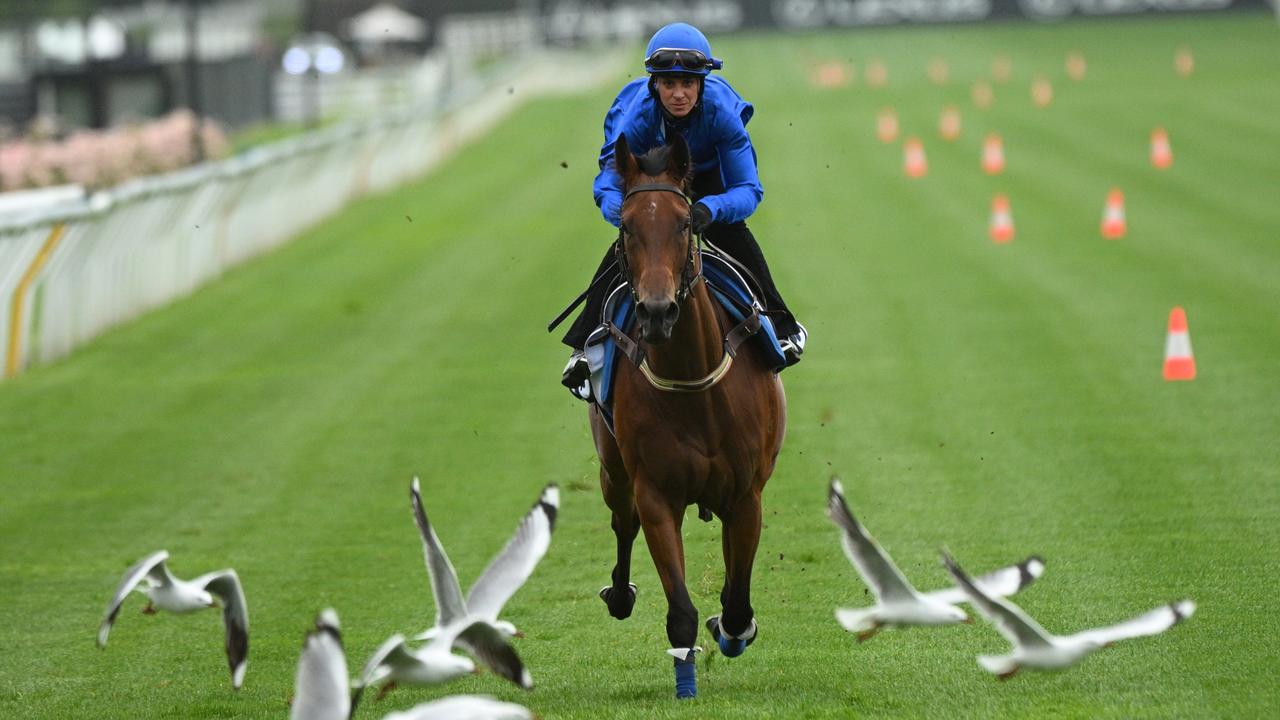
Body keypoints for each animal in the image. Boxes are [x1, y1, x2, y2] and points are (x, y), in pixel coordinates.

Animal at [586, 133, 783, 696]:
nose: (656, 312)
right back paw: (620, 594)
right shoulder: (656, 495)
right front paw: (686, 682)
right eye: (627, 226)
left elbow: (736, 604)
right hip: (613, 470)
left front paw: (732, 631)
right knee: (621, 522)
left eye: (683, 223)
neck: (696, 388)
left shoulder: (746, 496)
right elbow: (680, 611)